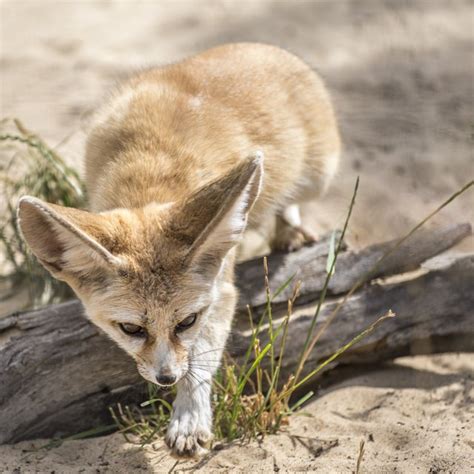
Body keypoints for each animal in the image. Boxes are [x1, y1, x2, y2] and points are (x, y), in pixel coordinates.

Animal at [16, 43, 338, 456]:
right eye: (131, 328)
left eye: (186, 322)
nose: (166, 378)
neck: (150, 171)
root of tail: (262, 47)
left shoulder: (221, 292)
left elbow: (200, 360)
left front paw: (189, 416)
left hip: (320, 177)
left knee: (294, 198)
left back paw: (290, 227)